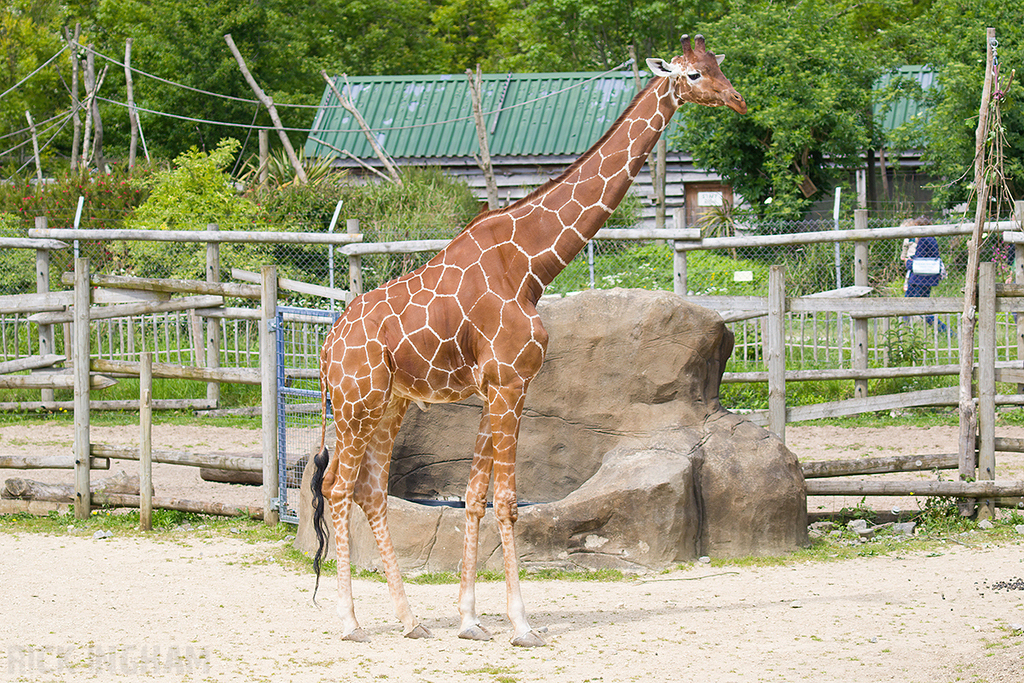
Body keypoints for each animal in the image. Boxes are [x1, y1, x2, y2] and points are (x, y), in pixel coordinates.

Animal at [310, 33, 746, 647]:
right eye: (692, 74)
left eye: (718, 67)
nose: (738, 101)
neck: (532, 266)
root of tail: (327, 348)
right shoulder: (510, 383)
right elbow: (508, 502)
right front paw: (521, 624)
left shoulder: (497, 387)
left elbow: (474, 498)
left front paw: (470, 620)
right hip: (355, 403)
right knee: (336, 490)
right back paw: (351, 623)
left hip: (389, 404)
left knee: (370, 491)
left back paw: (411, 621)